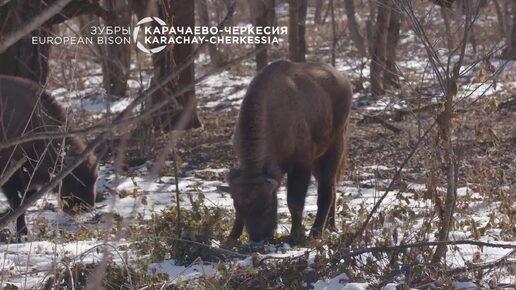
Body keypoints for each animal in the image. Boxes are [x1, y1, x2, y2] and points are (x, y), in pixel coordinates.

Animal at [0, 75, 98, 236]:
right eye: (76, 178)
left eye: (95, 178)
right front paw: (22, 233)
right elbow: (18, 203)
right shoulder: (11, 174)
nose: (86, 207)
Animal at [228, 60, 352, 242]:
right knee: (333, 188)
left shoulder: (301, 163)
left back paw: (316, 232)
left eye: (266, 205)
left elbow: (294, 202)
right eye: (238, 205)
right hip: (319, 161)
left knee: (326, 190)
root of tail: (343, 79)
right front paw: (232, 236)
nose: (258, 238)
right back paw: (330, 227)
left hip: (334, 147)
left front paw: (295, 235)